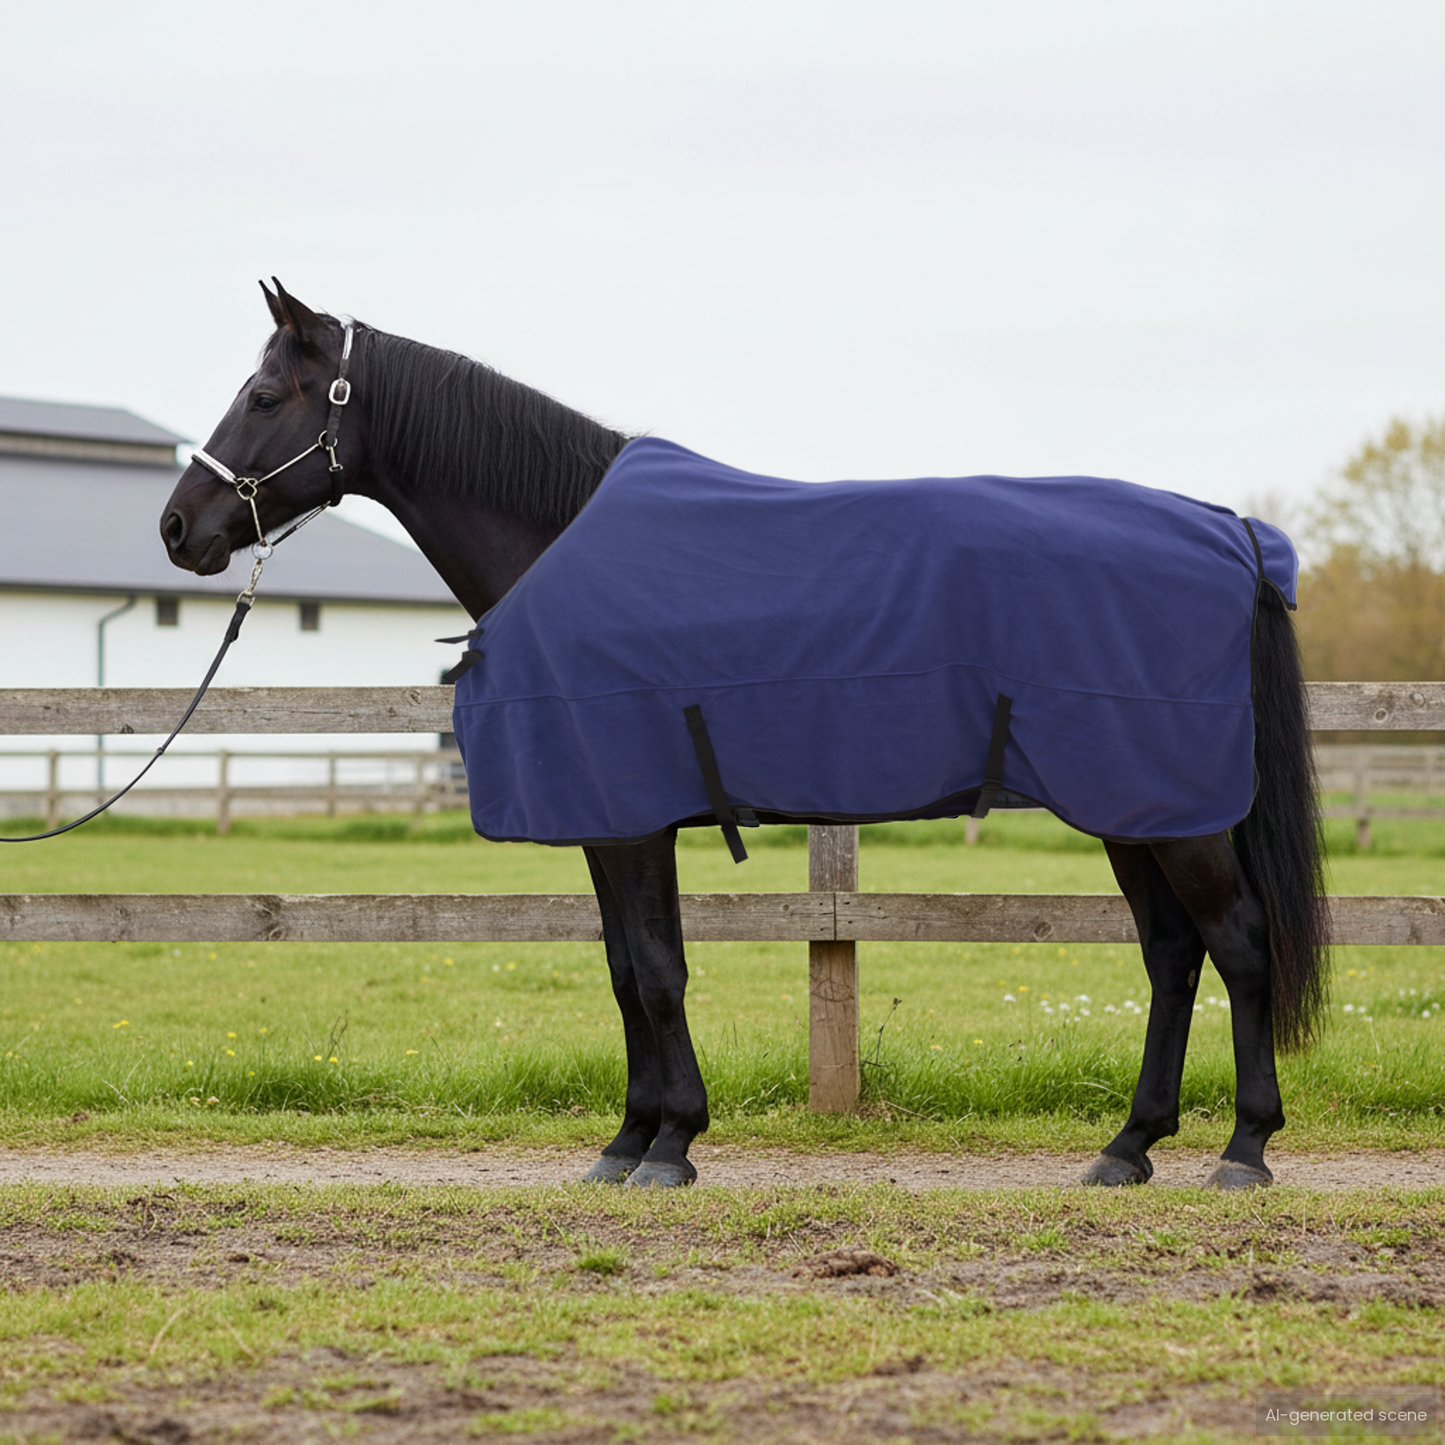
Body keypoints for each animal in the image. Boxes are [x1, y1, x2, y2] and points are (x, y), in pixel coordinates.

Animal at [159, 280, 1329, 1190]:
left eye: (262, 396)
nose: (178, 527)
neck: (559, 538)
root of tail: (1227, 530)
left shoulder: (630, 819)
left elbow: (656, 970)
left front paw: (670, 1143)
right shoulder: (609, 821)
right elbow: (625, 970)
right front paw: (629, 1138)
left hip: (1174, 813)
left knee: (1238, 945)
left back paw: (1242, 1149)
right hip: (1132, 809)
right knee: (1171, 954)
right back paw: (1128, 1146)